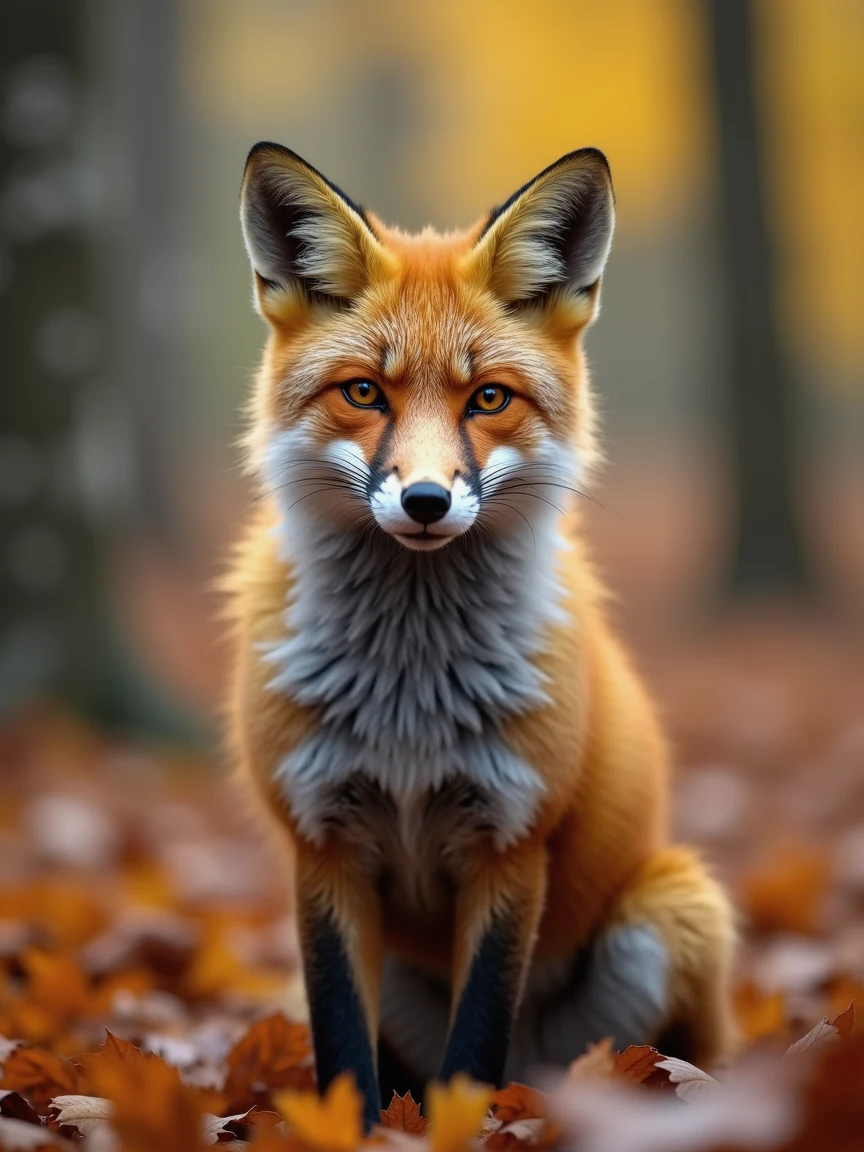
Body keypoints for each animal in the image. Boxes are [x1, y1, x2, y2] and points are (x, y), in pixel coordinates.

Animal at [226, 142, 736, 1130]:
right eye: (365, 393)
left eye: (488, 398)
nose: (426, 500)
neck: (409, 700)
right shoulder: (322, 842)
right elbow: (339, 1036)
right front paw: (359, 1129)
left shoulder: (511, 840)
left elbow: (479, 1034)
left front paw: (467, 1124)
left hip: (672, 912)